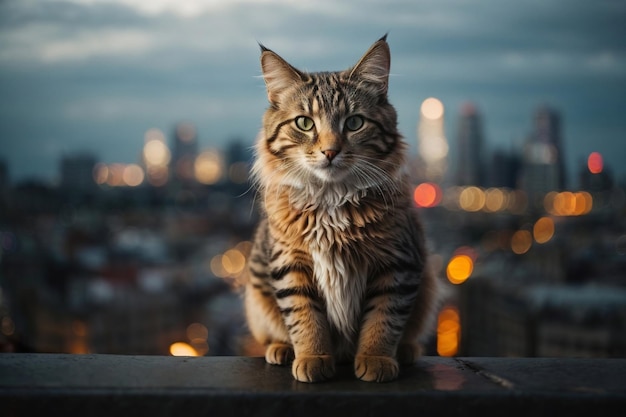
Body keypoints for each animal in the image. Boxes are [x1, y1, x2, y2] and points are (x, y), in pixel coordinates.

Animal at [241, 35, 436, 384]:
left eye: (355, 123)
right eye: (304, 123)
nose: (330, 151)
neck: (331, 199)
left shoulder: (398, 265)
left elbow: (383, 320)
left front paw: (375, 359)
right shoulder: (291, 265)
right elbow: (306, 319)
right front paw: (313, 357)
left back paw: (405, 351)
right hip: (256, 296)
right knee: (274, 333)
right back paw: (282, 349)